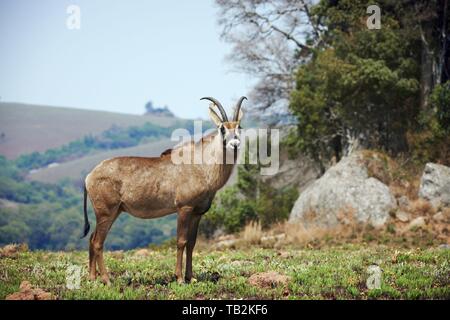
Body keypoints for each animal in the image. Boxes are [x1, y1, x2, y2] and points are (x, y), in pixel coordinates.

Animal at [79, 96, 244, 284]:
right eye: (222, 128)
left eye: (239, 127)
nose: (234, 144)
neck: (202, 164)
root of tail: (90, 176)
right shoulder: (184, 208)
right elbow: (181, 241)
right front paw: (179, 278)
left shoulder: (197, 213)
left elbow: (192, 243)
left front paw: (190, 277)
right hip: (106, 212)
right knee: (98, 242)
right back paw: (106, 279)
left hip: (113, 212)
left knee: (92, 238)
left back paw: (92, 278)